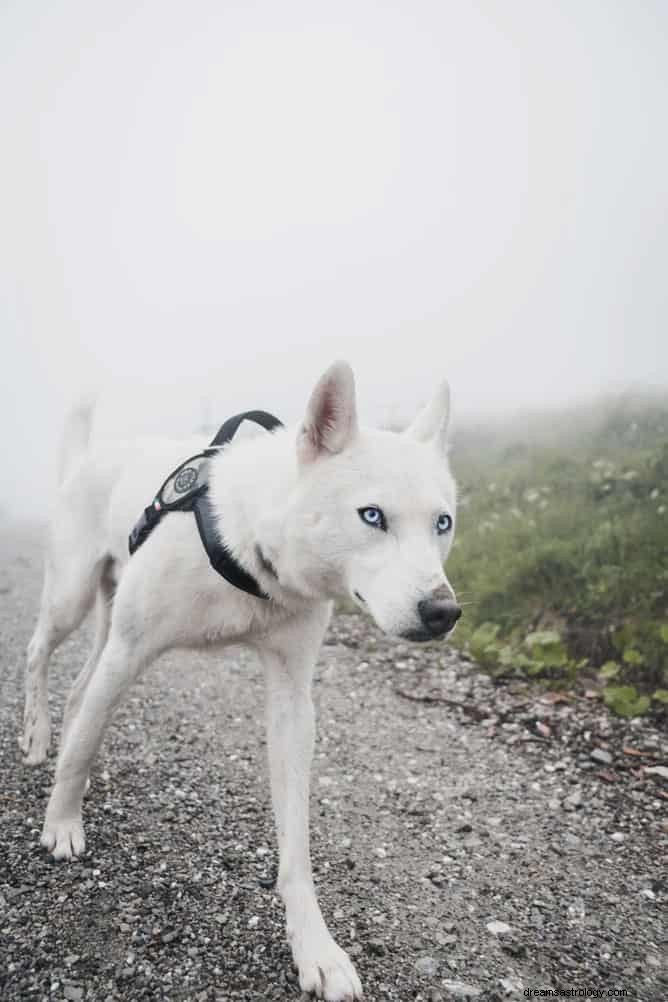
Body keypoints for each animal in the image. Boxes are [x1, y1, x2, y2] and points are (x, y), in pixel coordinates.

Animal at [20, 362, 460, 1002]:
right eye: (372, 516)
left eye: (443, 523)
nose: (443, 612)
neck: (252, 545)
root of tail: (91, 456)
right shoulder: (130, 652)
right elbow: (78, 753)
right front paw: (61, 823)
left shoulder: (292, 700)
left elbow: (296, 843)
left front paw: (314, 946)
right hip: (72, 601)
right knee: (39, 657)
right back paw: (36, 736)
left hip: (103, 626)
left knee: (81, 692)